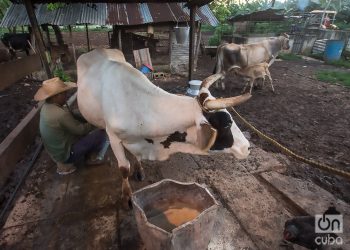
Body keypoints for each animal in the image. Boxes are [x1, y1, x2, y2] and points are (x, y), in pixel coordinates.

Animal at [77, 48, 252, 207]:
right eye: (227, 123)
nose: (248, 147)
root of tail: (97, 50)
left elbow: (135, 157)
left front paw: (139, 169)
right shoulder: (114, 138)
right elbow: (124, 168)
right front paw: (127, 196)